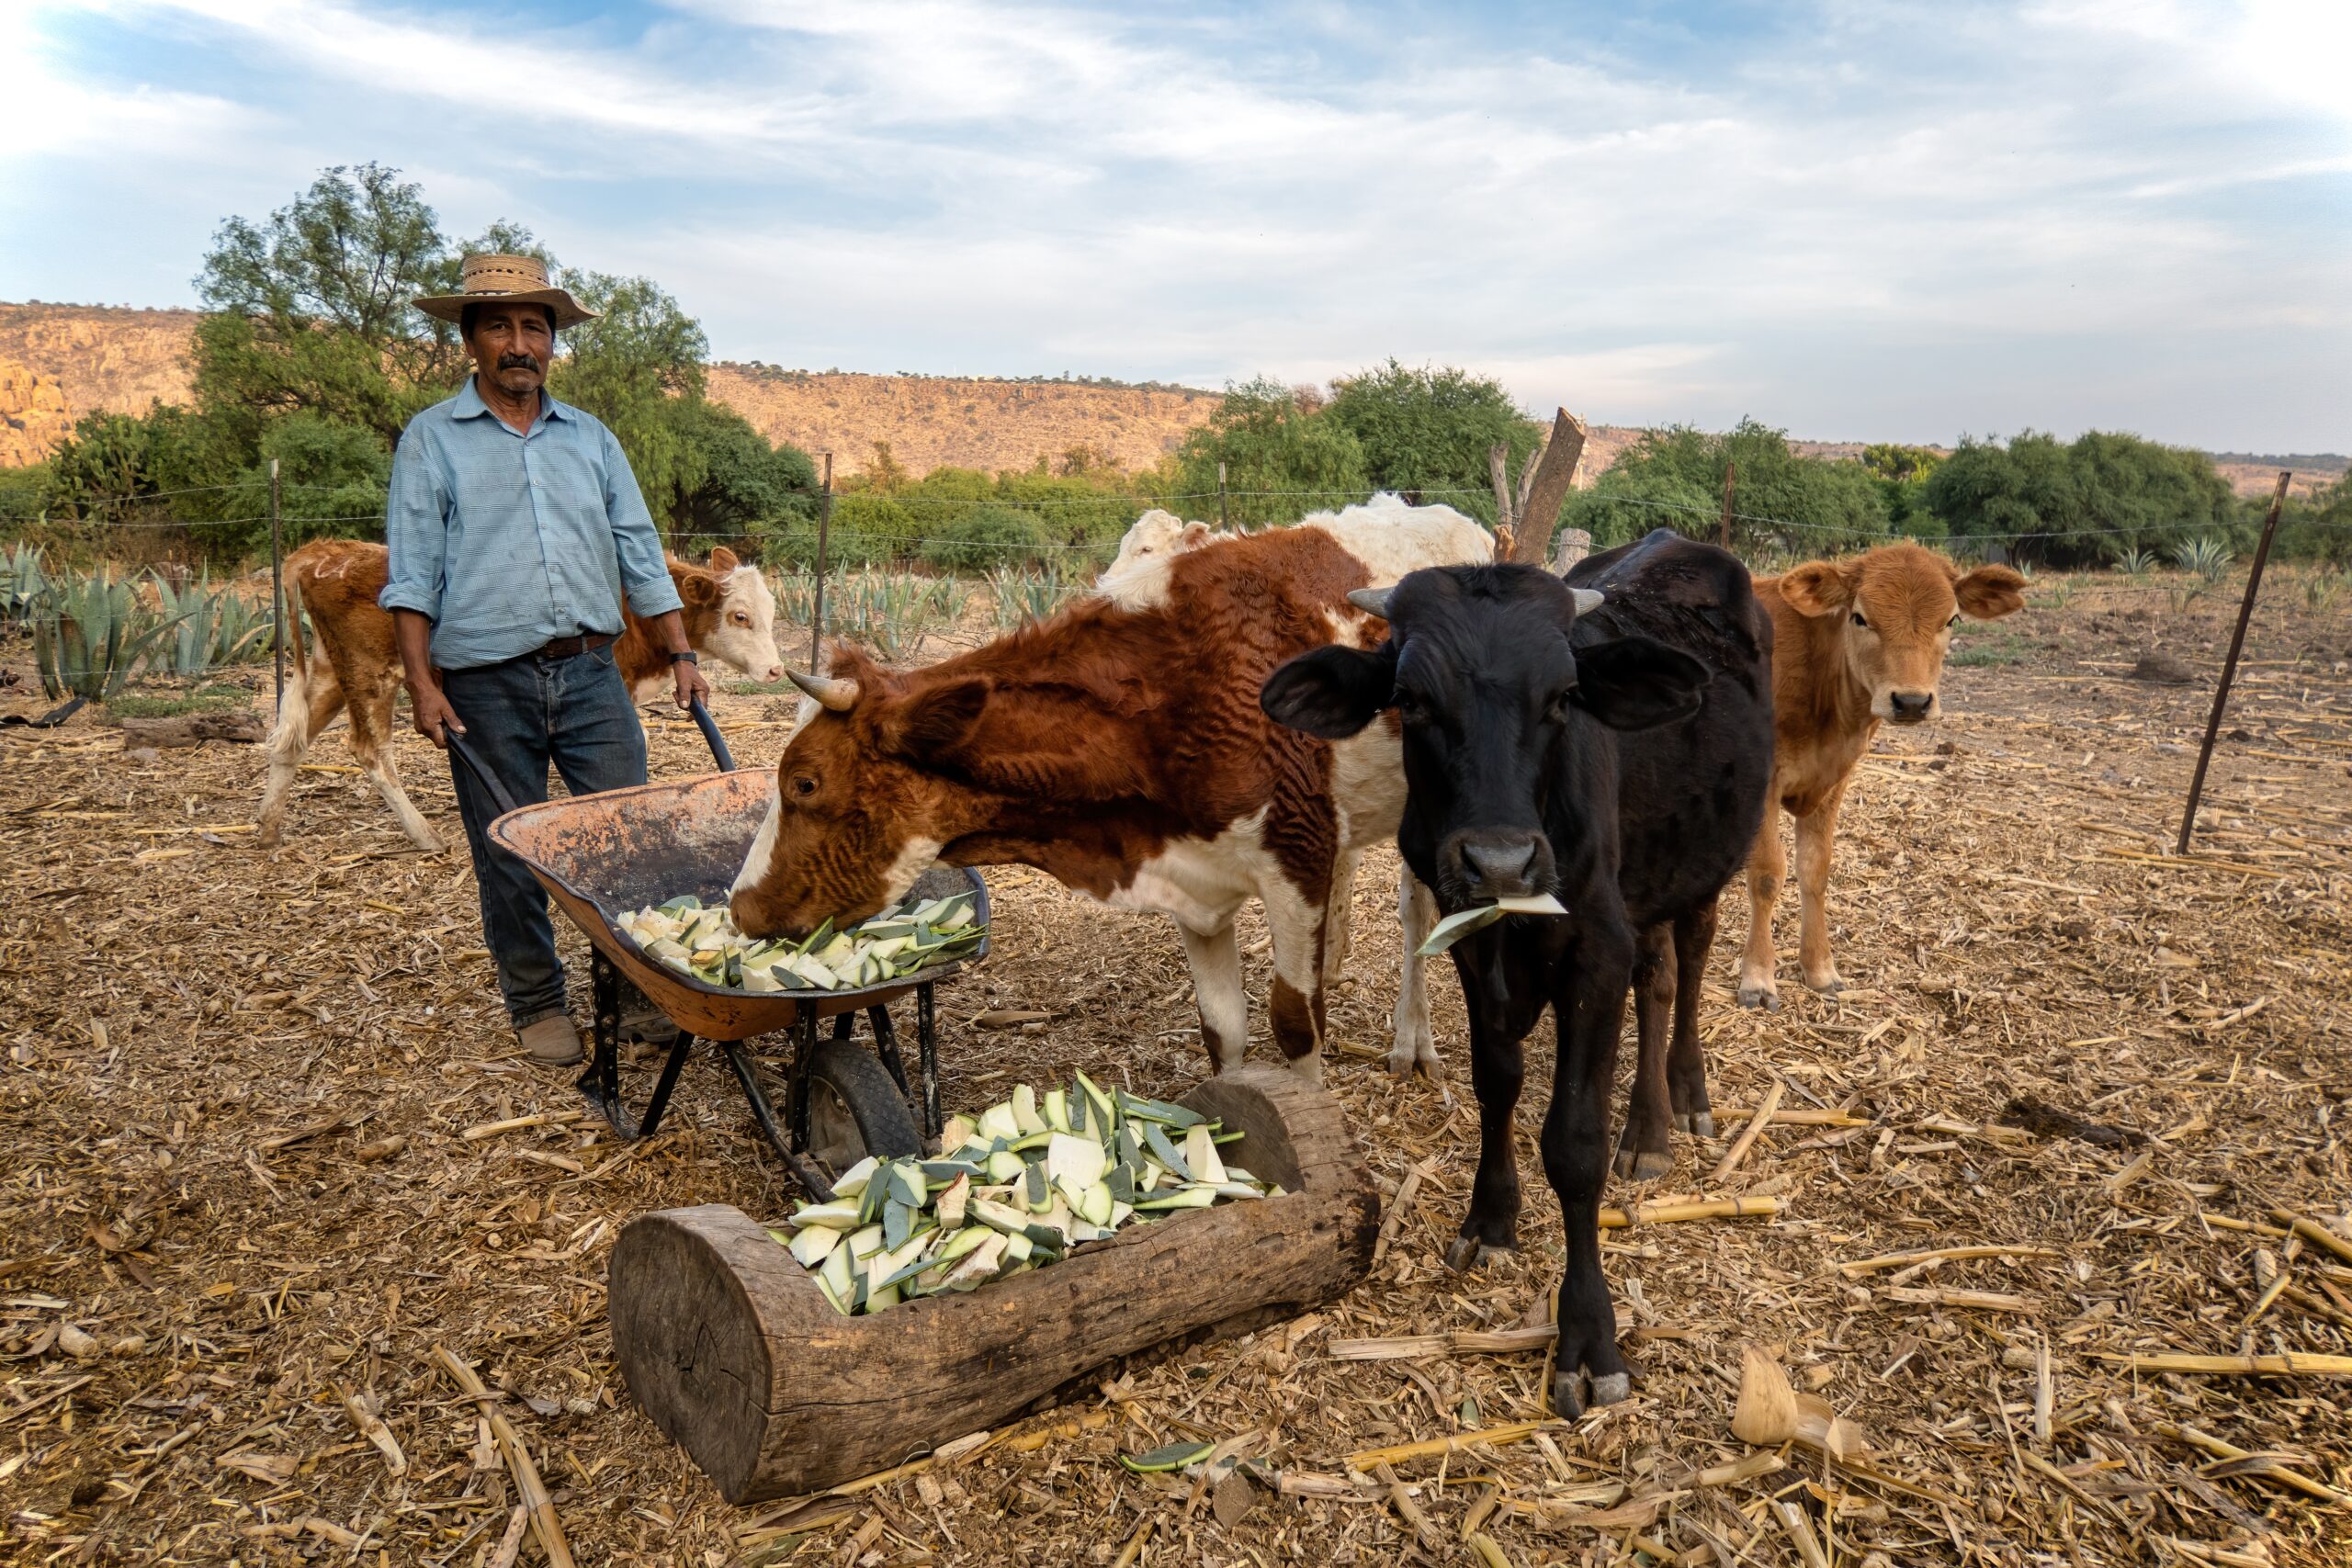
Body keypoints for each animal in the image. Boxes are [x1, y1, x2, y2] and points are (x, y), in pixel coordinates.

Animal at [256, 543, 786, 860]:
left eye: (772, 612)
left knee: (290, 742)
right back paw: (423, 834)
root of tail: (323, 551)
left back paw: (268, 828)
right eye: (740, 616)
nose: (777, 670)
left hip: (331, 671)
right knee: (370, 752)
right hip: (370, 674)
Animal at [733, 502, 1486, 1081]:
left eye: (804, 781)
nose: (740, 907)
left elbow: (1296, 1025)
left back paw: (1412, 1042)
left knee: (1417, 912)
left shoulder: (1294, 858)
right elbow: (1224, 1028)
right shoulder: (1194, 871)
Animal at [1261, 533, 1769, 1419]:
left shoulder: (1595, 951)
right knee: (1658, 975)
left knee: (1690, 967)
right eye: (1410, 698)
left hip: (1704, 867)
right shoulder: (1472, 944)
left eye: (1564, 696)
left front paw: (1589, 1336)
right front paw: (1491, 1217)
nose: (1499, 861)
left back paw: (1680, 1101)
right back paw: (1648, 1126)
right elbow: (1495, 1080)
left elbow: (1574, 1142)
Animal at [1740, 543, 2031, 1006]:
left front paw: (1819, 969)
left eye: (1951, 620)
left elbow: (1815, 870)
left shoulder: (1833, 779)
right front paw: (1757, 978)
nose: (1911, 701)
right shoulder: (1764, 781)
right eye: (1860, 617)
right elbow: (1768, 875)